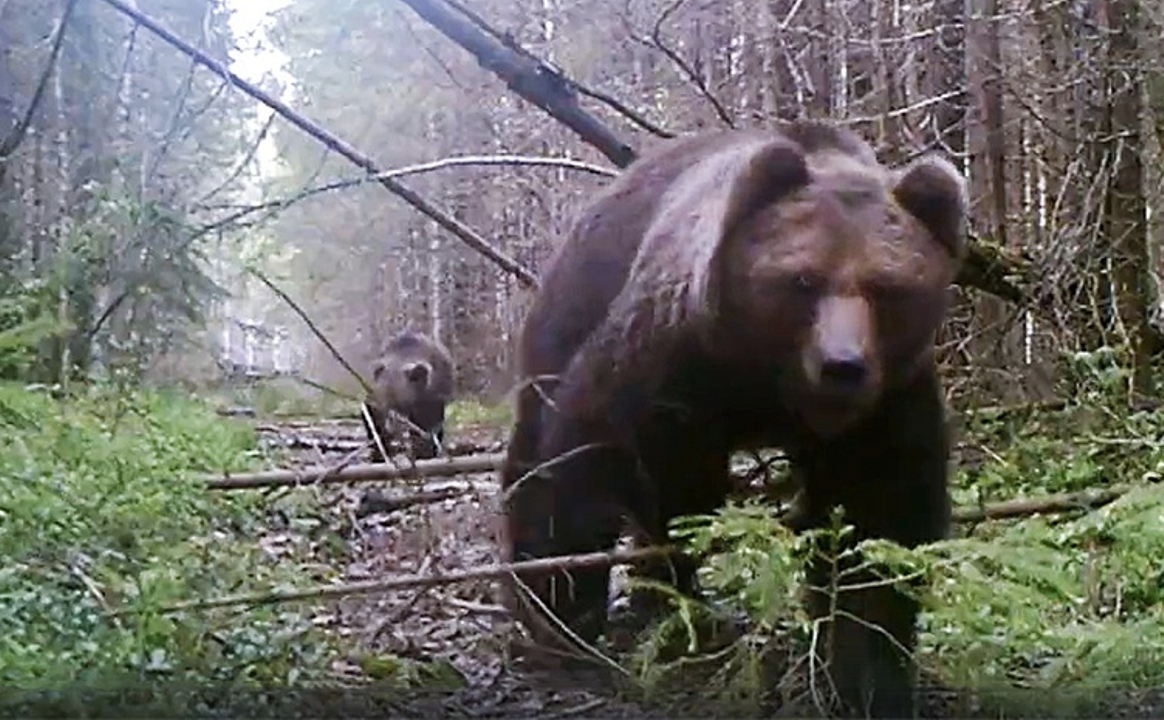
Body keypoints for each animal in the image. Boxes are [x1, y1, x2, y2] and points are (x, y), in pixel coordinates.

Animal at [363, 330, 453, 462]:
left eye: (402, 406)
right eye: (384, 406)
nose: (390, 428)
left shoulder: (430, 401)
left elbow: (428, 427)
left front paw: (423, 450)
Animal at [498, 120, 963, 716]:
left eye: (888, 288)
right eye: (803, 280)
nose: (842, 365)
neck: (769, 382)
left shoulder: (887, 401)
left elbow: (879, 515)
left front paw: (866, 670)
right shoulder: (674, 355)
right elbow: (590, 451)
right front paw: (565, 611)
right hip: (567, 314)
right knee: (548, 452)